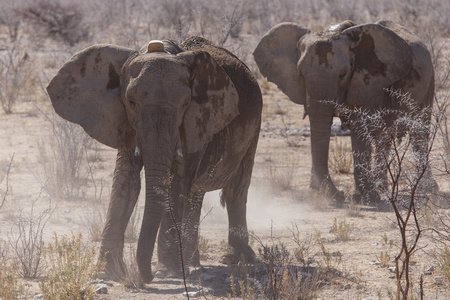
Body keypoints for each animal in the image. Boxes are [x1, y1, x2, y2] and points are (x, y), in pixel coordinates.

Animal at [46, 36, 262, 282]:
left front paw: (166, 272)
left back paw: (237, 258)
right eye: (131, 102)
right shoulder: (124, 121)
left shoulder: (194, 121)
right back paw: (192, 263)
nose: (145, 278)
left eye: (185, 104)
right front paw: (107, 273)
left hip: (255, 124)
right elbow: (126, 182)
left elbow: (175, 183)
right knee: (197, 193)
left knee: (236, 189)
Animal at [255, 20, 438, 204]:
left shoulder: (368, 83)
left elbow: (359, 130)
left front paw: (368, 198)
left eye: (342, 74)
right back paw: (382, 187)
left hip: (429, 79)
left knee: (419, 132)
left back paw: (427, 188)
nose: (338, 195)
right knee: (385, 137)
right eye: (300, 73)